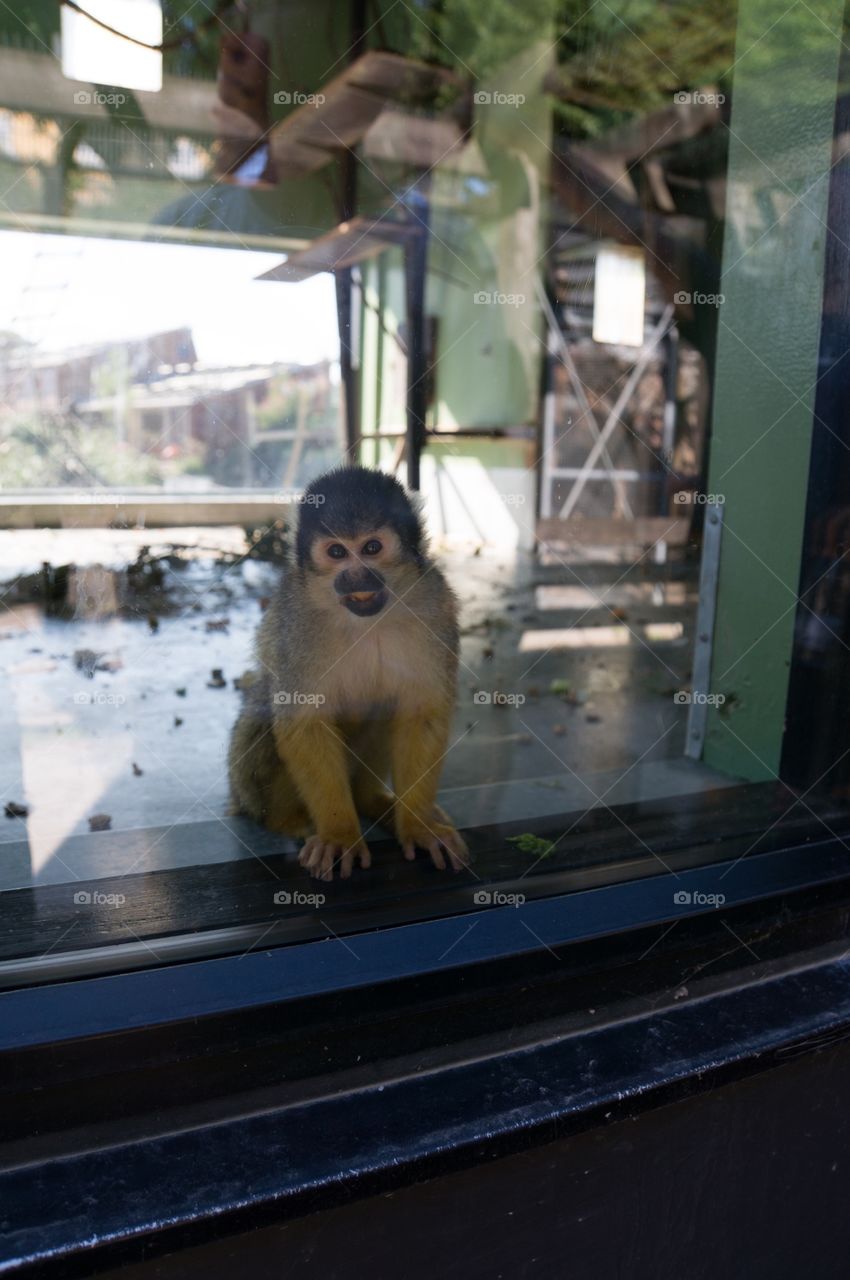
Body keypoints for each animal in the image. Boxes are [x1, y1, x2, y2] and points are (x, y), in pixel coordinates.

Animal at [228, 465, 469, 881]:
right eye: (337, 552)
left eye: (371, 548)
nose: (357, 578)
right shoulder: (297, 619)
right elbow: (303, 721)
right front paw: (339, 834)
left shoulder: (434, 601)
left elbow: (420, 713)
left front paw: (418, 825)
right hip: (245, 788)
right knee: (263, 705)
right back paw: (286, 820)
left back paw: (372, 802)